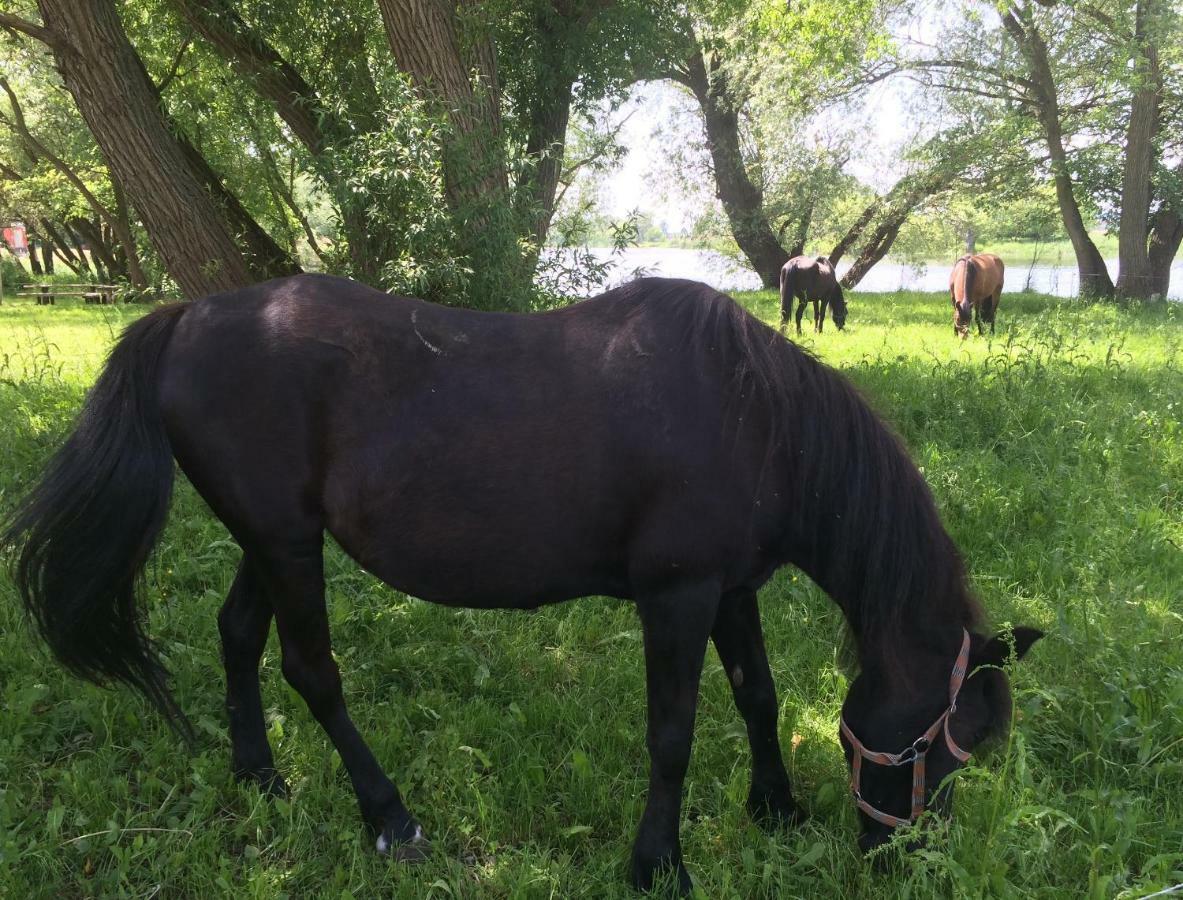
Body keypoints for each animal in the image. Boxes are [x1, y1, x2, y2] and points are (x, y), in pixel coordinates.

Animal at [11, 274, 1045, 894]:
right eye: (947, 742)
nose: (905, 861)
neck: (751, 412)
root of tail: (188, 316)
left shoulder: (730, 589)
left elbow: (757, 695)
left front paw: (776, 810)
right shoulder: (676, 596)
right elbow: (672, 734)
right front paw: (657, 862)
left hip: (273, 542)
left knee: (237, 635)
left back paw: (260, 778)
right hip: (288, 548)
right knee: (314, 673)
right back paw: (388, 816)